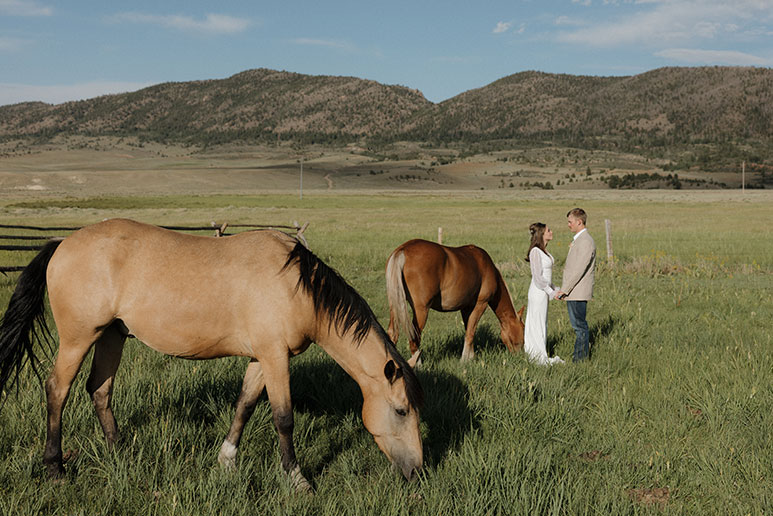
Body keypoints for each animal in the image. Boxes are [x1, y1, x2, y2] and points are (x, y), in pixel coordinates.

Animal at [0, 219, 423, 491]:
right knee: (58, 390)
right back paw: (55, 468)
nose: (418, 472)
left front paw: (227, 461)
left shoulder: (260, 358)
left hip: (112, 336)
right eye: (401, 410)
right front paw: (297, 479)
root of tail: (62, 243)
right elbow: (283, 418)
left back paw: (120, 454)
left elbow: (245, 406)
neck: (298, 286)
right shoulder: (276, 357)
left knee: (99, 390)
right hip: (78, 338)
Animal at [385, 239, 525, 362]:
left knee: (392, 334)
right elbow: (470, 332)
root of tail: (403, 250)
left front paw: (470, 357)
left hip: (394, 306)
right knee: (415, 338)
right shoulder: (481, 304)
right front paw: (465, 360)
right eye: (523, 332)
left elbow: (469, 330)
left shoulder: (466, 308)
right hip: (421, 310)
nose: (519, 356)